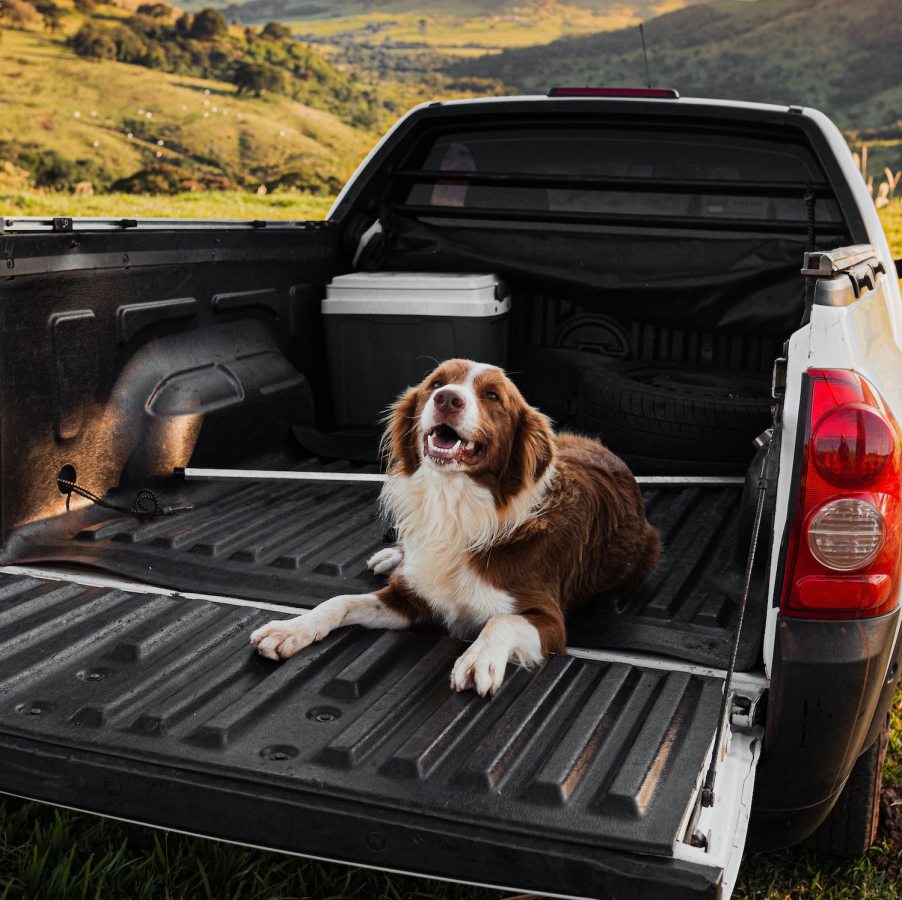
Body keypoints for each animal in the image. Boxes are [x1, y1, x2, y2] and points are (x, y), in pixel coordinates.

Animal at [251, 358, 660, 696]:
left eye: (493, 396)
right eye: (436, 384)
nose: (447, 399)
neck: (453, 506)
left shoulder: (549, 621)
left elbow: (501, 621)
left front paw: (478, 659)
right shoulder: (412, 600)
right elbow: (340, 601)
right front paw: (292, 629)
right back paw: (391, 556)